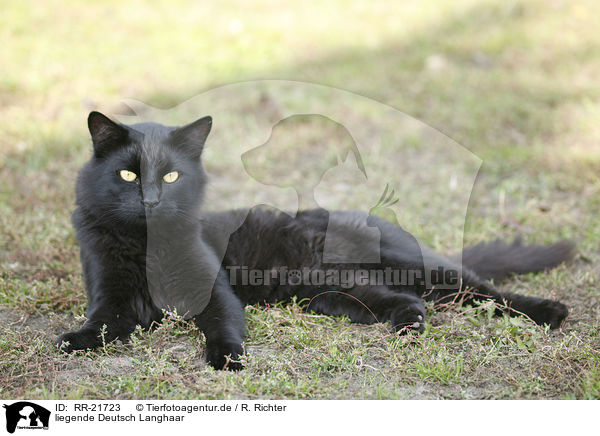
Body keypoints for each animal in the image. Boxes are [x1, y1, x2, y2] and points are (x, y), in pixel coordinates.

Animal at [57, 111, 576, 368]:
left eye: (170, 175)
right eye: (128, 175)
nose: (151, 201)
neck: (146, 245)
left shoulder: (216, 293)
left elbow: (223, 326)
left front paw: (227, 360)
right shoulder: (114, 298)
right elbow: (101, 324)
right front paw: (75, 341)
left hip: (413, 267)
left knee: (484, 291)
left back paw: (550, 311)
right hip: (334, 293)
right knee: (408, 300)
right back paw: (409, 327)